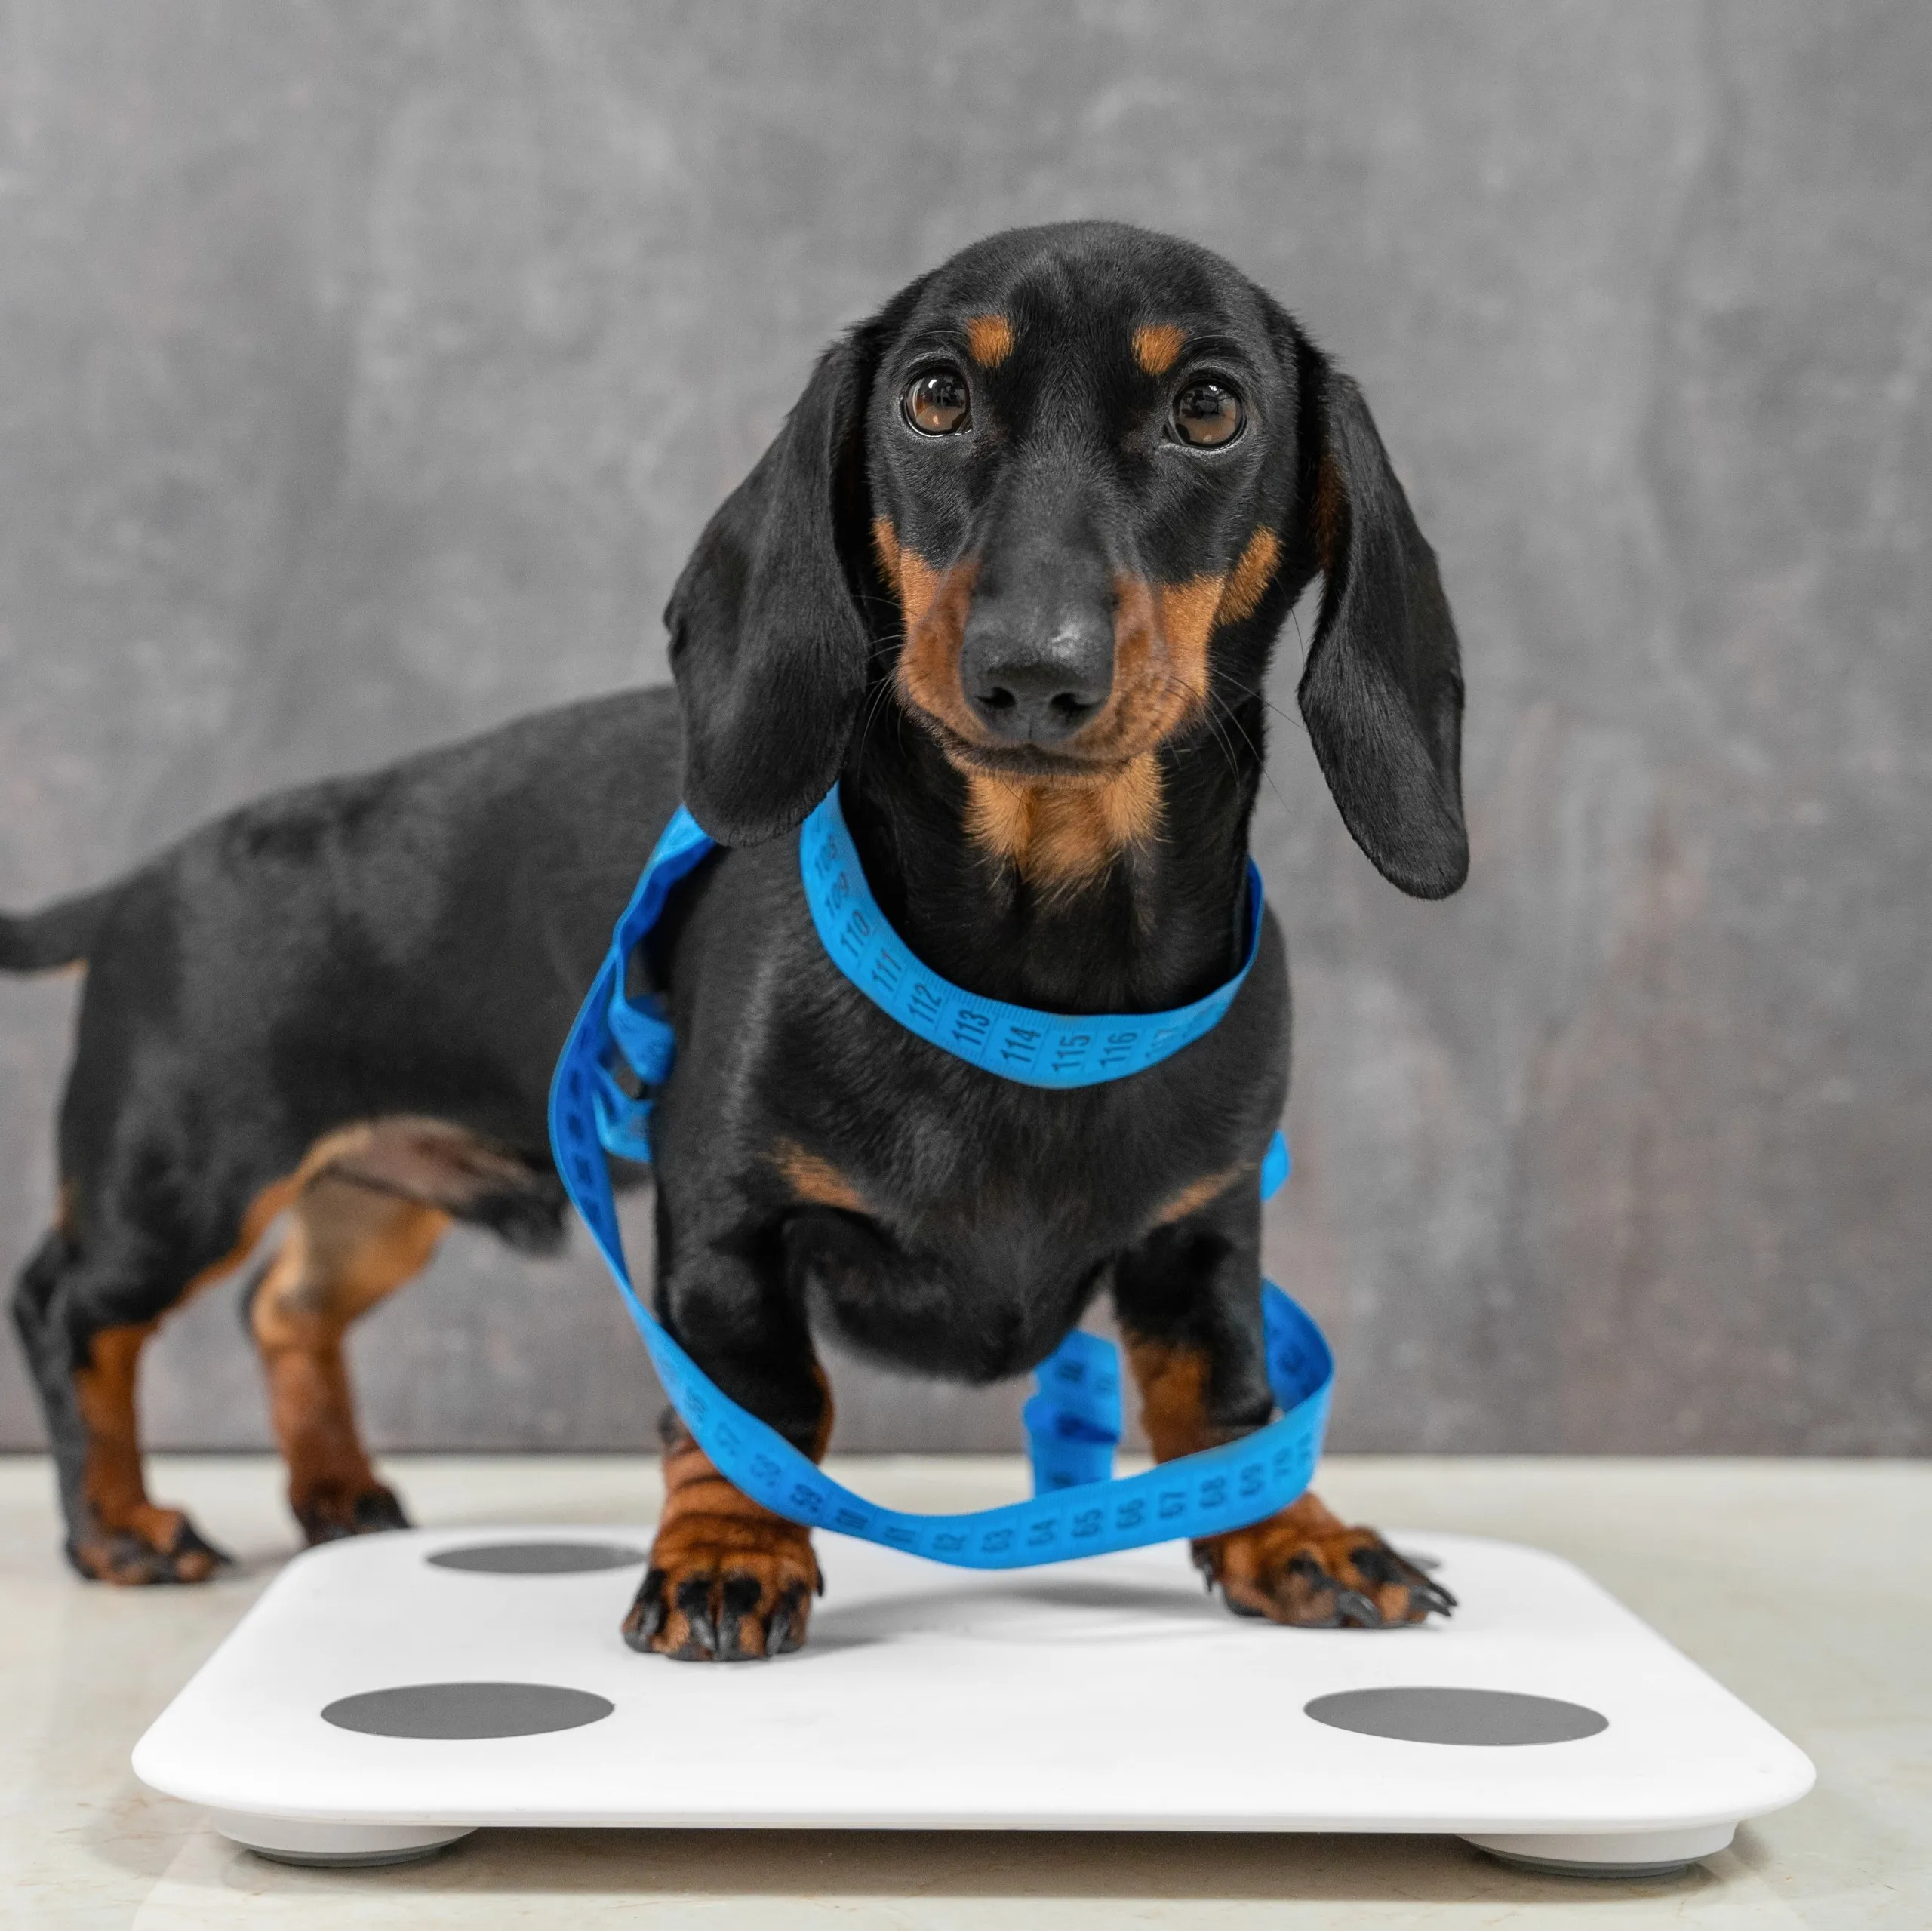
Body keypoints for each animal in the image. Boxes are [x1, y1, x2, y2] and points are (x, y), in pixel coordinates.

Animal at [4, 219, 1460, 1653]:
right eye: (935, 396)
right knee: (71, 1308)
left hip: (376, 1196)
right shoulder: (724, 1220)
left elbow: (1223, 1398)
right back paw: (121, 1523)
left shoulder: (1203, 1232)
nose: (1030, 671)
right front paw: (726, 1555)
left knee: (287, 1304)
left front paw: (1296, 1536)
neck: (1041, 978)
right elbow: (758, 1401)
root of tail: (144, 876)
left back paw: (335, 1489)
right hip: (182, 1175)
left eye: (1210, 408)